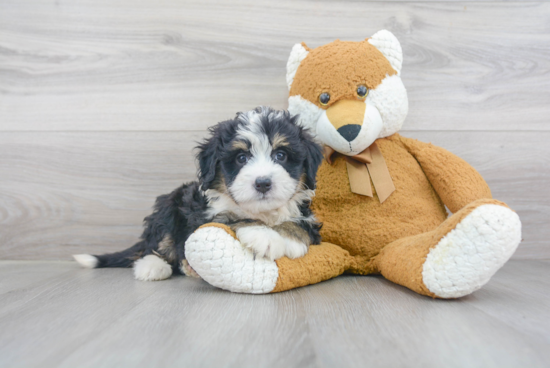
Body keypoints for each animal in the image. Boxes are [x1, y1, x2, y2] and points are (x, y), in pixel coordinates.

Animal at [73, 106, 324, 282]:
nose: (262, 183)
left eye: (281, 155)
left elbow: (300, 224)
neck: (262, 212)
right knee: (156, 245)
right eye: (241, 158)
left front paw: (290, 238)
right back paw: (153, 267)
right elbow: (231, 218)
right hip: (168, 207)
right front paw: (265, 236)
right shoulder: (202, 215)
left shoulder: (307, 214)